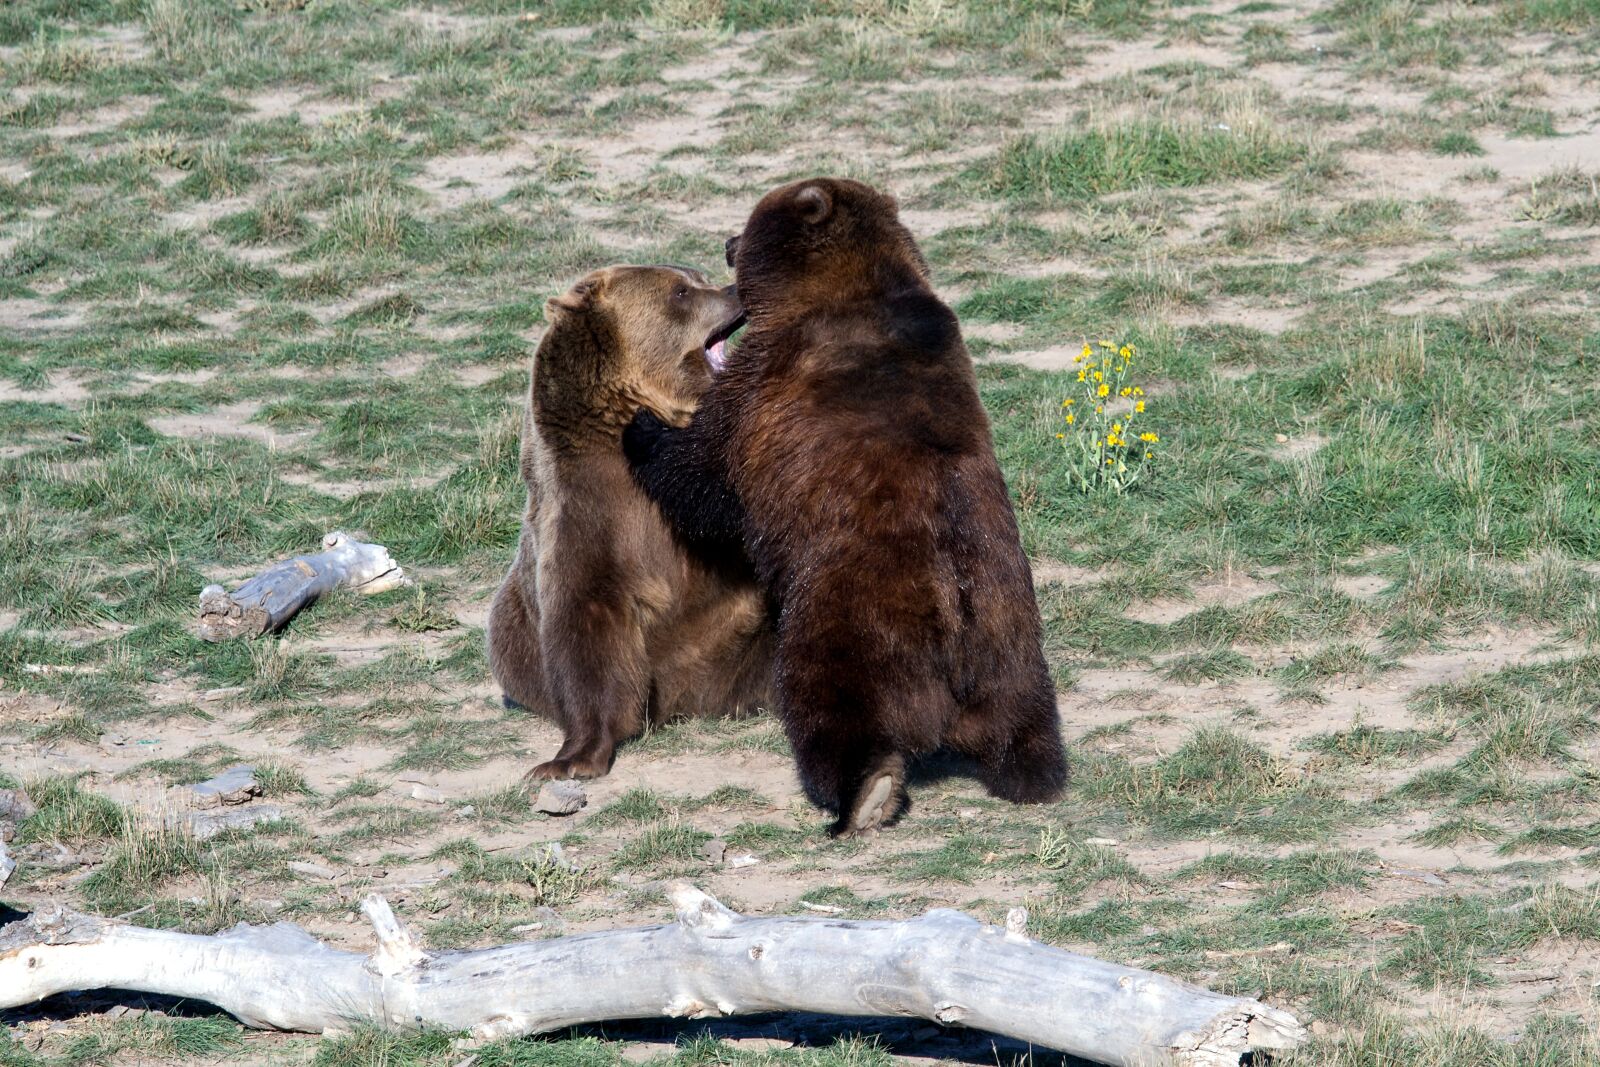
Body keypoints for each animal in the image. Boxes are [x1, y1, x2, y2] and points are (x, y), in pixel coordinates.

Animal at [488, 264, 773, 783]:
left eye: (696, 275)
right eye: (680, 291)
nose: (737, 289)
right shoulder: (587, 510)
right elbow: (585, 624)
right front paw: (570, 759)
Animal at [623, 178, 1068, 836]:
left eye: (749, 222)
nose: (726, 240)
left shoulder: (765, 385)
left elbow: (703, 475)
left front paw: (642, 427)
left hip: (846, 626)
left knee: (831, 713)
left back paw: (864, 795)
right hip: (1011, 638)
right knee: (1027, 720)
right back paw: (1037, 777)